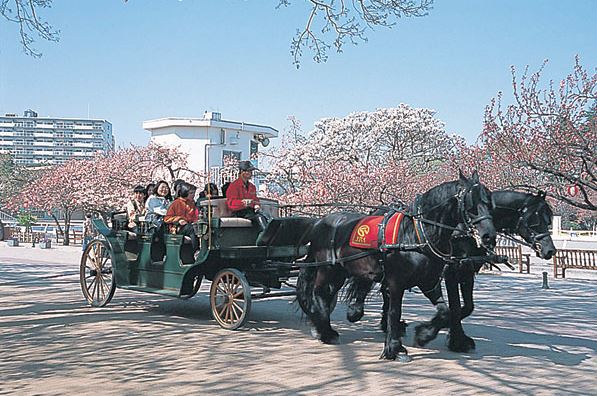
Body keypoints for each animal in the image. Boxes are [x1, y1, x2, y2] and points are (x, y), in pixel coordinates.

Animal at [296, 172, 496, 360]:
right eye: (470, 205)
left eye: (489, 203)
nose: (489, 236)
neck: (415, 234)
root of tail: (319, 222)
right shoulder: (395, 283)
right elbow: (394, 311)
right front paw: (394, 348)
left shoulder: (429, 281)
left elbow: (445, 311)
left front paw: (423, 334)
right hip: (328, 270)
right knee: (319, 293)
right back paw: (325, 330)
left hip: (340, 272)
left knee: (326, 294)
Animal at [346, 189, 556, 352]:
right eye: (535, 219)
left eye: (549, 220)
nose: (550, 250)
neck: (465, 230)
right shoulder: (452, 272)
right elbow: (455, 306)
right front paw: (447, 337)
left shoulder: (467, 271)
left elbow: (467, 307)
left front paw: (445, 330)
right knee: (368, 283)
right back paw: (357, 311)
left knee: (387, 291)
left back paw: (389, 323)